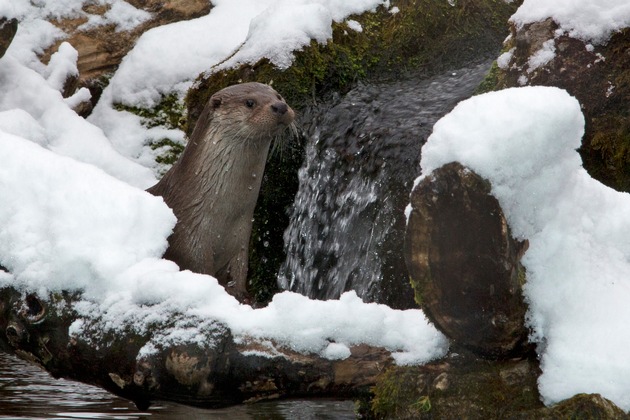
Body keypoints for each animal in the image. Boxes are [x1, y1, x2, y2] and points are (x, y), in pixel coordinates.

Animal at [148, 82, 296, 300]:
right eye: (249, 102)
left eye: (278, 96)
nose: (280, 106)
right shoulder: (189, 242)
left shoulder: (241, 240)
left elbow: (239, 271)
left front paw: (241, 295)